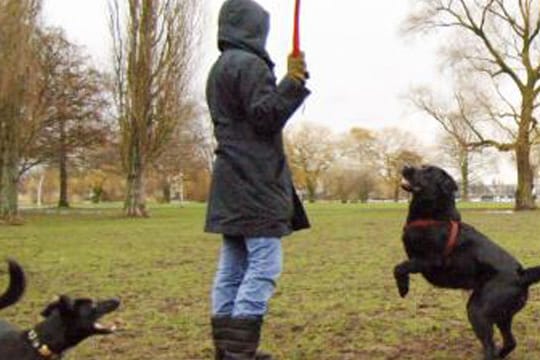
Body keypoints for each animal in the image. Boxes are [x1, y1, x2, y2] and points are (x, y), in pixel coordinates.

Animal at [392, 166, 540, 360]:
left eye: (428, 171)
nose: (405, 167)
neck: (434, 217)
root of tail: (521, 274)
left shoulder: (430, 261)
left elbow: (399, 267)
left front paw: (403, 288)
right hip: (502, 316)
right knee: (510, 342)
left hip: (477, 309)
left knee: (490, 346)